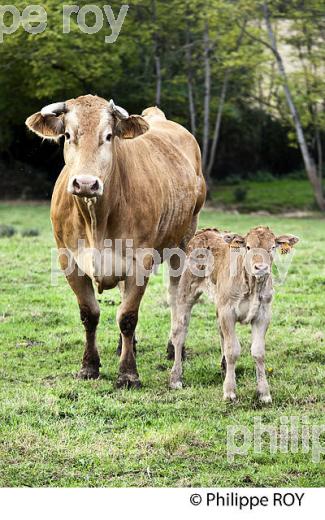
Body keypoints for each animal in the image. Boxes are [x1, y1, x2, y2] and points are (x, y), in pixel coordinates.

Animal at [24, 94, 205, 386]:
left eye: (108, 136)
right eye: (67, 135)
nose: (86, 183)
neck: (95, 220)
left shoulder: (141, 261)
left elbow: (128, 316)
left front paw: (128, 373)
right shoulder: (68, 260)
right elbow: (90, 314)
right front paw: (89, 366)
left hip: (184, 240)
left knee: (177, 297)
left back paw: (174, 348)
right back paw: (125, 345)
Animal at [170, 224, 298, 402]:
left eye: (272, 247)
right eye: (248, 247)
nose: (261, 268)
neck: (252, 286)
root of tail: (205, 231)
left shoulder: (263, 315)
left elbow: (258, 352)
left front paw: (264, 393)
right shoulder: (227, 313)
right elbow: (232, 351)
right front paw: (230, 392)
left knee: (220, 333)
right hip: (185, 292)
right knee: (179, 332)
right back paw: (176, 378)